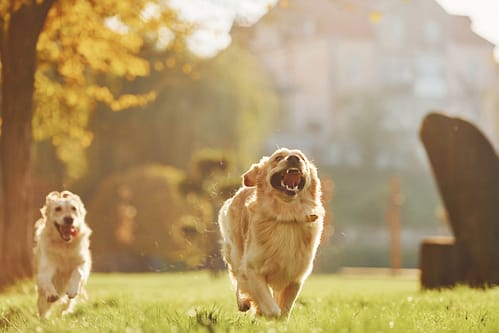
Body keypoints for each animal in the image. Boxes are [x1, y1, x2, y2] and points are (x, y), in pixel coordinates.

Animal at [219, 147, 324, 316]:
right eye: (278, 158)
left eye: (302, 158)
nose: (294, 158)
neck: (287, 216)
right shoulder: (252, 269)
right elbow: (272, 309)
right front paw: (263, 311)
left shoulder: (295, 277)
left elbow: (284, 311)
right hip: (235, 251)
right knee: (238, 277)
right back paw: (243, 303)